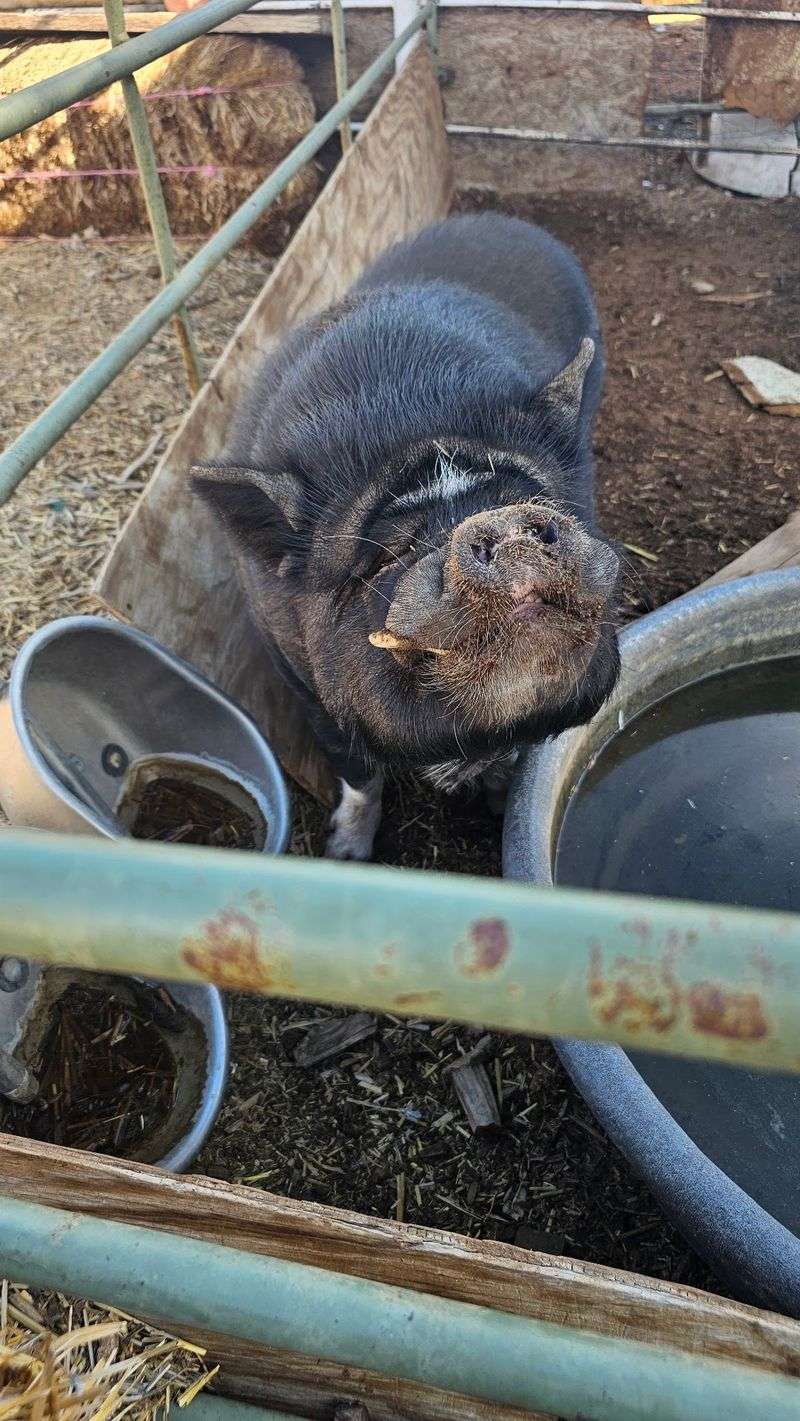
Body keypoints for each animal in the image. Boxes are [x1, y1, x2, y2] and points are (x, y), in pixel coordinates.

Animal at [192, 213, 621, 860]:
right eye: (385, 556)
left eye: (534, 500)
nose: (500, 525)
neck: (415, 427)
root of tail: (505, 222)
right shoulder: (298, 679)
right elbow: (358, 772)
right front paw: (345, 853)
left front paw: (502, 807)